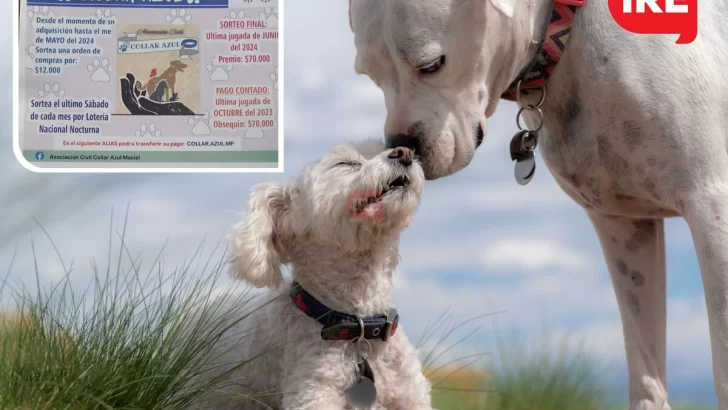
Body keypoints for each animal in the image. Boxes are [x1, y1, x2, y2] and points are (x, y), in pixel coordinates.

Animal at [350, 0, 728, 410]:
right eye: (370, 75)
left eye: (432, 64)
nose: (401, 146)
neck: (566, 30)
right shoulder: (624, 227)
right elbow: (646, 378)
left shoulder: (712, 208)